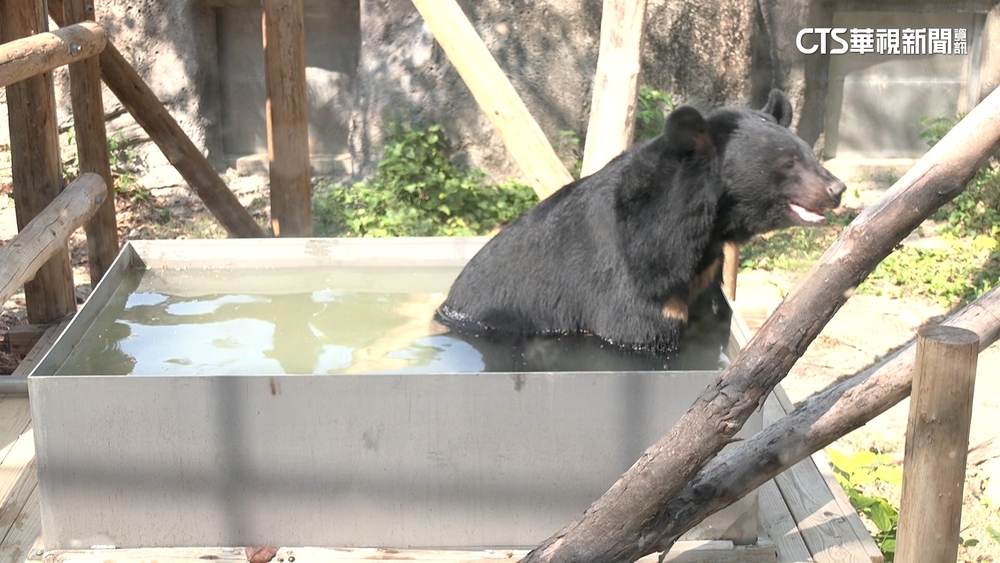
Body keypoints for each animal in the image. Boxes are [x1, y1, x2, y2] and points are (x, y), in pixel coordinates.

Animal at [435, 89, 846, 354]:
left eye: (810, 154)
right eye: (789, 162)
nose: (837, 189)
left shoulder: (704, 277)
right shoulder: (629, 284)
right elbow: (639, 329)